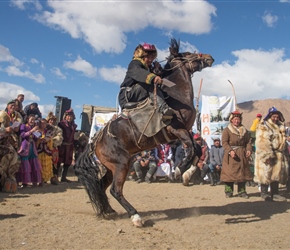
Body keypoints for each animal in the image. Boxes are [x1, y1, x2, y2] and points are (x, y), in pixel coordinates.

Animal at [75, 38, 213, 227]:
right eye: (187, 54)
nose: (209, 57)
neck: (176, 95)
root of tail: (95, 141)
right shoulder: (176, 130)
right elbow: (192, 149)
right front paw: (179, 170)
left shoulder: (185, 131)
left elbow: (197, 150)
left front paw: (186, 172)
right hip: (122, 164)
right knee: (115, 190)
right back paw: (135, 216)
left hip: (111, 168)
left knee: (101, 186)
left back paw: (108, 211)